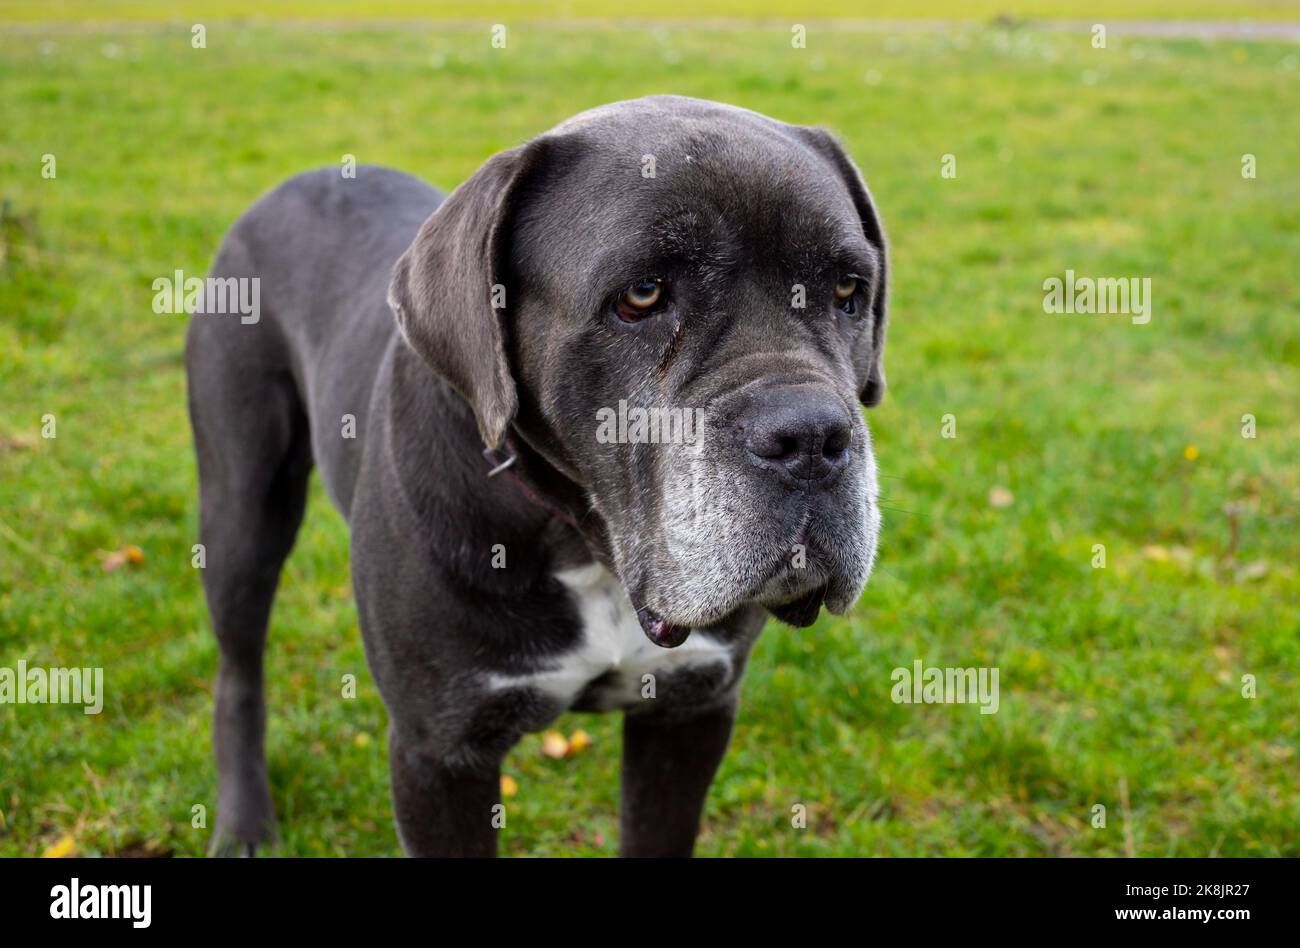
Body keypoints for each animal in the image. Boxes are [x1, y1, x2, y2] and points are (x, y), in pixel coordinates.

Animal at [188, 96, 889, 858]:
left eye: (849, 290)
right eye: (642, 296)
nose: (813, 437)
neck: (586, 542)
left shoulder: (690, 708)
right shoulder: (438, 756)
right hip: (242, 512)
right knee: (238, 670)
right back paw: (244, 824)